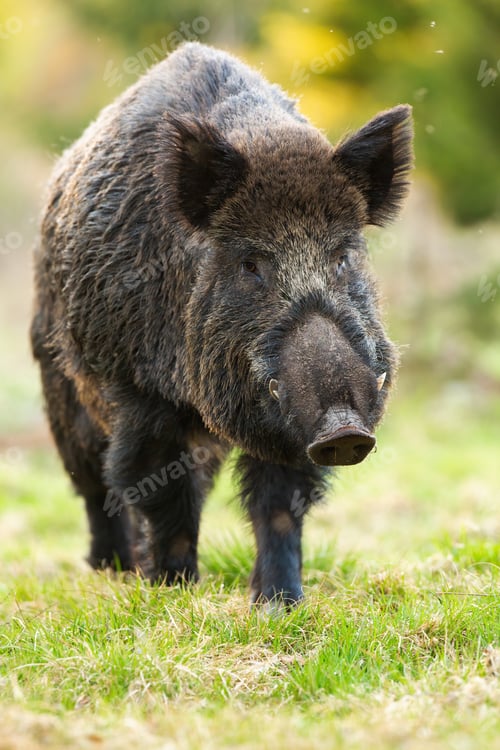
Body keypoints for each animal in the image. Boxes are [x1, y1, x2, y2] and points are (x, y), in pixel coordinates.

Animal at [31, 42, 413, 605]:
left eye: (343, 256)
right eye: (250, 264)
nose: (345, 429)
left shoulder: (288, 426)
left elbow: (279, 505)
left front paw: (280, 604)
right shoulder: (140, 394)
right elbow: (163, 496)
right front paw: (174, 591)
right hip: (60, 390)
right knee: (96, 486)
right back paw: (114, 570)